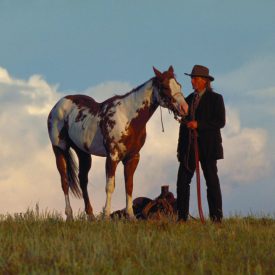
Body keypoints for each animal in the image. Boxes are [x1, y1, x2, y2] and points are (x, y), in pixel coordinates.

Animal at [48, 66, 190, 221]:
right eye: (164, 87)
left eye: (179, 85)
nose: (184, 108)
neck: (127, 117)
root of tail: (58, 105)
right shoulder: (112, 156)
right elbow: (110, 186)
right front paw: (106, 215)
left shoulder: (133, 157)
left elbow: (129, 185)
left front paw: (131, 216)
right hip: (59, 149)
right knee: (64, 181)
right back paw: (69, 215)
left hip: (83, 153)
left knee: (83, 180)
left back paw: (90, 215)